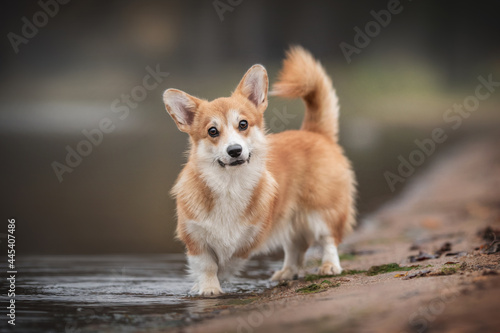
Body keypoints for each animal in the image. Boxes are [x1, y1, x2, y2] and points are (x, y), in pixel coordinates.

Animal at [163, 46, 356, 296]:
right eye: (212, 131)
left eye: (243, 124)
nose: (235, 150)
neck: (229, 184)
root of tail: (315, 132)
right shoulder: (195, 238)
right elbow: (207, 265)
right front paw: (207, 288)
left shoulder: (249, 238)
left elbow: (226, 262)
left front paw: (212, 283)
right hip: (289, 219)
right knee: (296, 246)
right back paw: (287, 272)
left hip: (322, 211)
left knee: (328, 239)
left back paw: (329, 266)